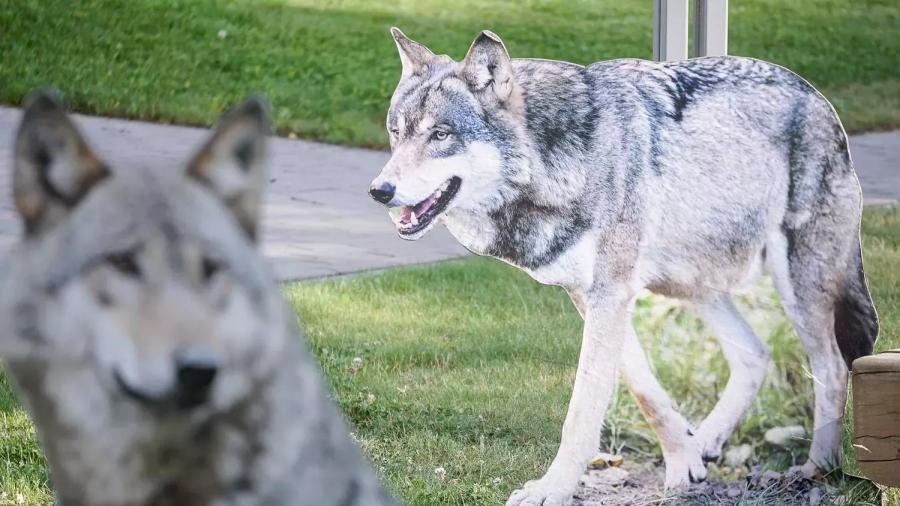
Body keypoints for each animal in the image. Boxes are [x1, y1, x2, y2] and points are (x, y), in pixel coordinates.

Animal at [368, 29, 879, 505]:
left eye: (440, 135)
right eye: (396, 133)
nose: (379, 190)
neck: (556, 161)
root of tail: (819, 98)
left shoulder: (610, 295)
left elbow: (582, 412)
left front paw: (553, 489)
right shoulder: (592, 296)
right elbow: (645, 389)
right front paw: (684, 463)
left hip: (798, 287)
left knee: (833, 367)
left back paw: (818, 468)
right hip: (689, 287)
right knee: (756, 353)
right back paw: (707, 442)